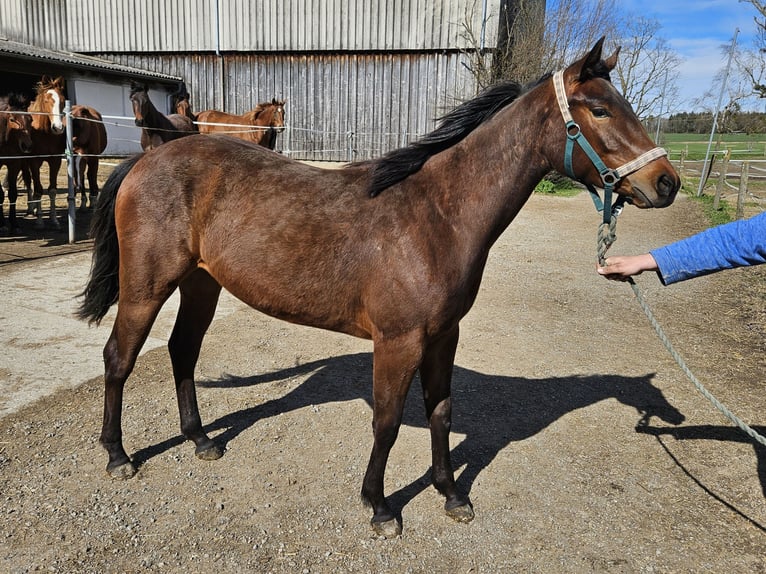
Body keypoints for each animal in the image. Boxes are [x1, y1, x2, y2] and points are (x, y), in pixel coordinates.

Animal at [24, 76, 65, 230]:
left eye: (63, 101)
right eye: (47, 101)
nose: (58, 128)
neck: (45, 132)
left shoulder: (55, 161)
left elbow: (52, 190)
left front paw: (54, 220)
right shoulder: (34, 162)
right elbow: (38, 190)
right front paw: (40, 221)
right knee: (29, 182)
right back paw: (31, 209)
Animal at [76, 41, 680, 540]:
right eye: (599, 109)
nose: (666, 183)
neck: (437, 215)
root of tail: (145, 160)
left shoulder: (443, 337)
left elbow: (442, 412)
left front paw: (451, 494)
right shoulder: (398, 341)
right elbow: (387, 423)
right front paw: (380, 506)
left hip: (202, 284)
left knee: (182, 351)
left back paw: (201, 440)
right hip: (147, 287)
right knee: (118, 358)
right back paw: (118, 455)